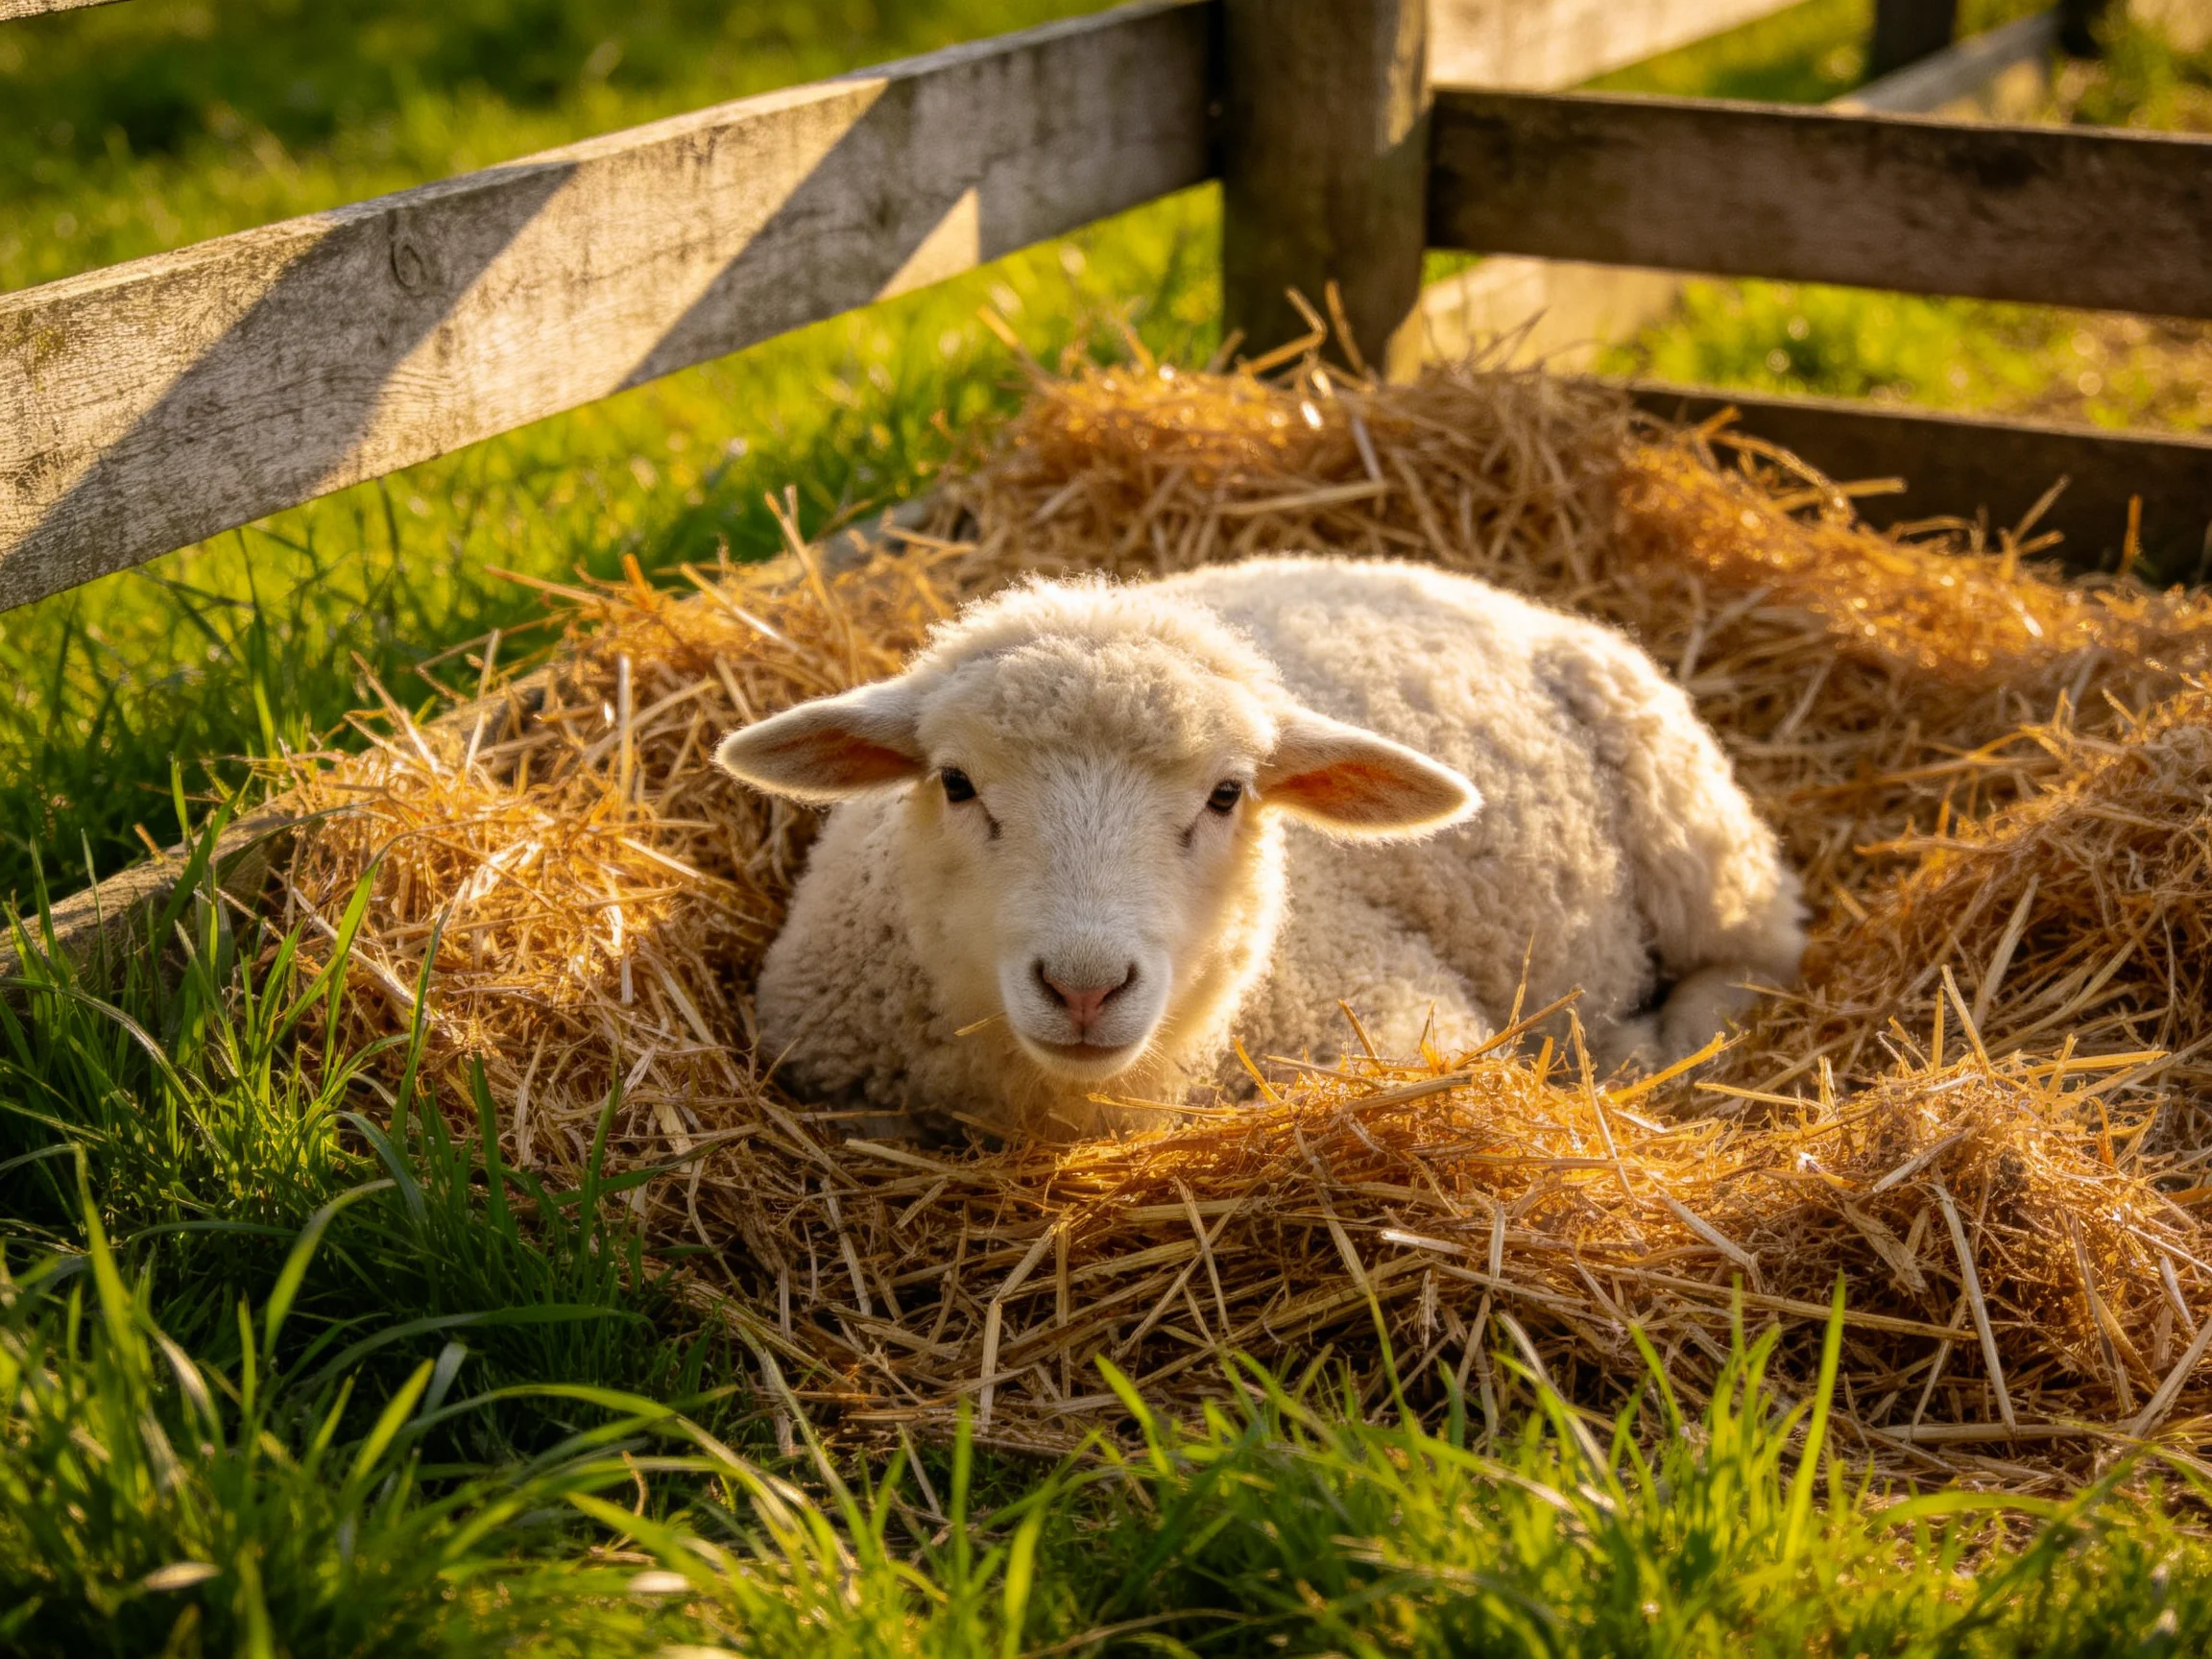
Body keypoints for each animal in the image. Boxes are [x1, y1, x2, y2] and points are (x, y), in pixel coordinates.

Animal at [715, 554, 1804, 1139]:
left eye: (1228, 793)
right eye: (955, 782)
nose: (1083, 987)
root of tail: (1468, 586)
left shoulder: (1401, 1017)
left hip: (1699, 836)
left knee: (1750, 967)